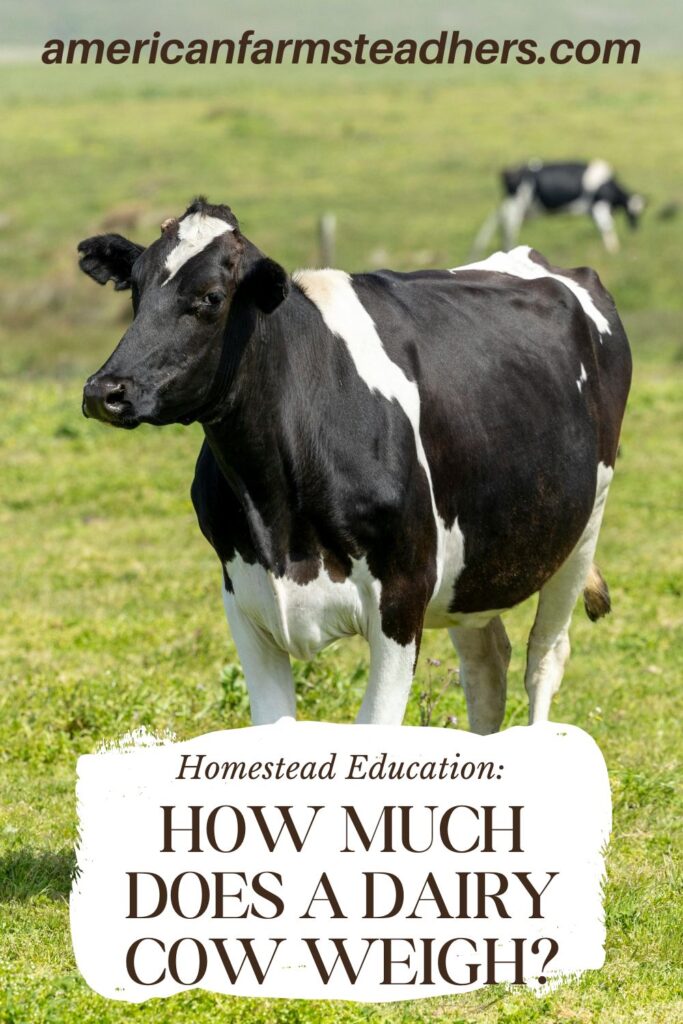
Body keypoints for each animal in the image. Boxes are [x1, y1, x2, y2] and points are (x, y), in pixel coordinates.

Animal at [79, 198, 631, 734]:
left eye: (211, 297)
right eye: (135, 289)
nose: (104, 391)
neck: (277, 520)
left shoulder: (402, 599)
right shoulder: (244, 599)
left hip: (583, 525)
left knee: (544, 659)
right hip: (472, 567)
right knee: (487, 666)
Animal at [472, 159, 646, 256]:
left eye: (640, 214)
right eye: (632, 214)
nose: (635, 229)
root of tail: (508, 171)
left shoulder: (593, 210)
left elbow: (601, 228)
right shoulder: (599, 207)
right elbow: (607, 227)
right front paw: (613, 250)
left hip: (510, 207)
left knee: (498, 225)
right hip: (515, 208)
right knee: (509, 230)